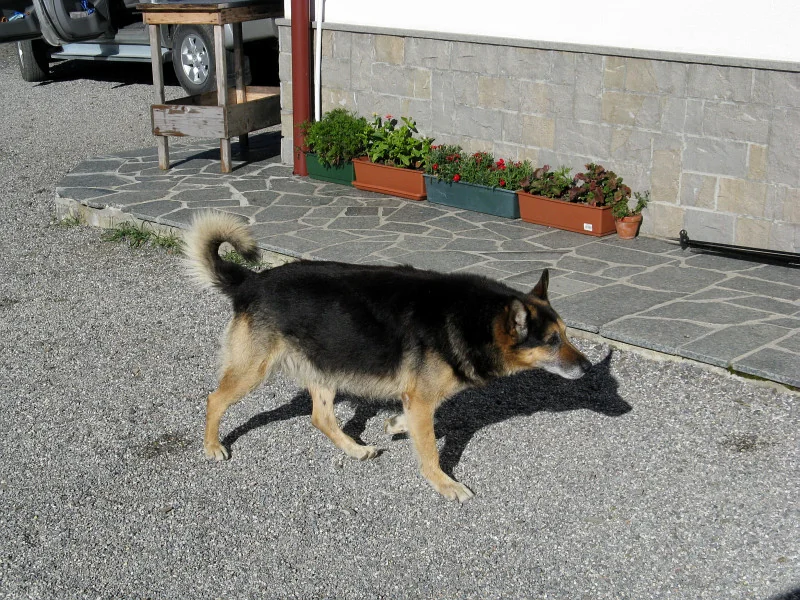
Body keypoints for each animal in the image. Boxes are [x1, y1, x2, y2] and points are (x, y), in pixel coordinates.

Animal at [184, 211, 592, 502]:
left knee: (320, 418)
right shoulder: (422, 399)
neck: (475, 318)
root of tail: (251, 281)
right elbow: (429, 450)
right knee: (214, 399)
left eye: (566, 335)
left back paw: (355, 449)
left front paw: (396, 425)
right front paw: (444, 484)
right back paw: (212, 445)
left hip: (327, 366)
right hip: (253, 371)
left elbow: (411, 423)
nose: (588, 367)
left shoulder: (417, 400)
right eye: (552, 341)